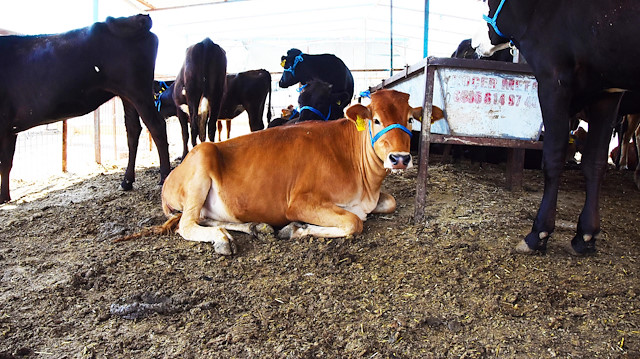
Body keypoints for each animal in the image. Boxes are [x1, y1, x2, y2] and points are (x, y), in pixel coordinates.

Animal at [0, 14, 170, 204]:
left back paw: (164, 178)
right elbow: (6, 163)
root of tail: (137, 18)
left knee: (156, 126)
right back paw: (126, 181)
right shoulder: (9, 129)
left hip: (138, 90)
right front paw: (5, 197)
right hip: (126, 95)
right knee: (133, 130)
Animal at [484, 0, 640, 256]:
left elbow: (554, 158)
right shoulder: (608, 93)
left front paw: (539, 233)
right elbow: (595, 162)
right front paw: (586, 235)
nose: (478, 43)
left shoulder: (553, 81)